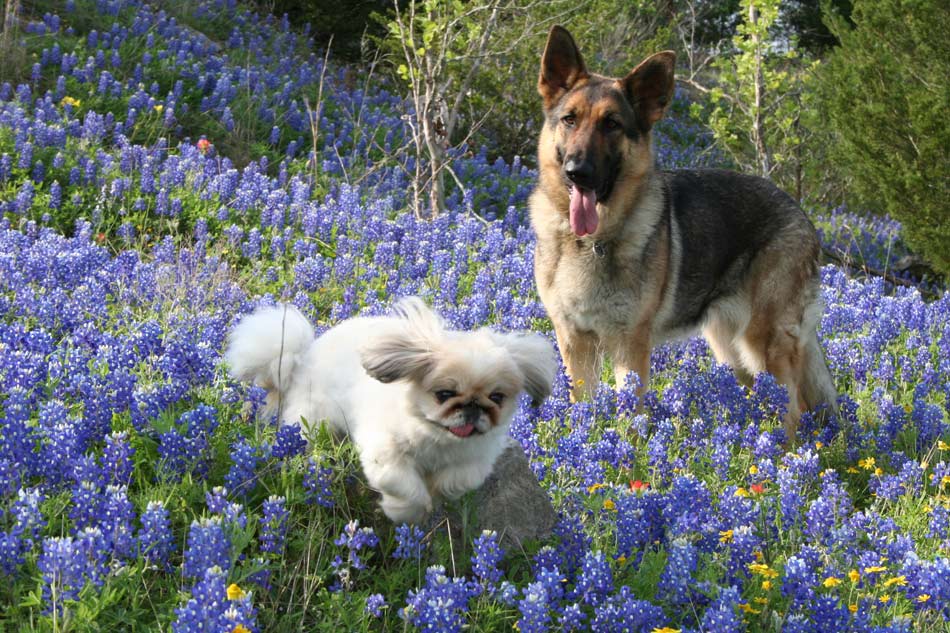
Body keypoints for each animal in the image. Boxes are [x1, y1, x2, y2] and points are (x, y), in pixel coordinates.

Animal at [227, 298, 560, 520]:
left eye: (497, 397)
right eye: (444, 394)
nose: (473, 406)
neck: (437, 437)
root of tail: (304, 356)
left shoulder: (474, 461)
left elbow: (454, 481)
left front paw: (436, 493)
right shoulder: (385, 455)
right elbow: (406, 488)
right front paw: (406, 511)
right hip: (312, 420)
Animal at [532, 27, 836, 442]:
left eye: (612, 124)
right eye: (569, 119)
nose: (578, 172)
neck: (589, 242)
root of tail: (800, 211)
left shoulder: (630, 344)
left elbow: (630, 421)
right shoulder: (574, 341)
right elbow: (585, 409)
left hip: (764, 342)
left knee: (794, 410)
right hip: (730, 349)